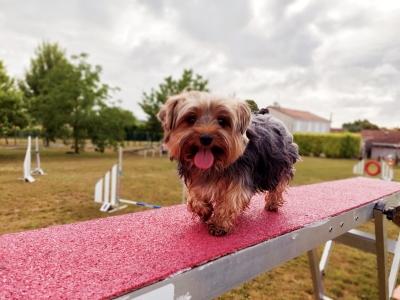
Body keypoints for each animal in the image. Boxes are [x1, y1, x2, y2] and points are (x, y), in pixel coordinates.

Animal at [158, 91, 298, 237]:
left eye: (222, 121)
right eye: (191, 119)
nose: (206, 138)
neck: (214, 166)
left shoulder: (240, 179)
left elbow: (230, 200)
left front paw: (219, 225)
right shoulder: (195, 180)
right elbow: (194, 197)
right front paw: (205, 210)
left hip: (278, 165)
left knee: (279, 185)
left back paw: (272, 204)